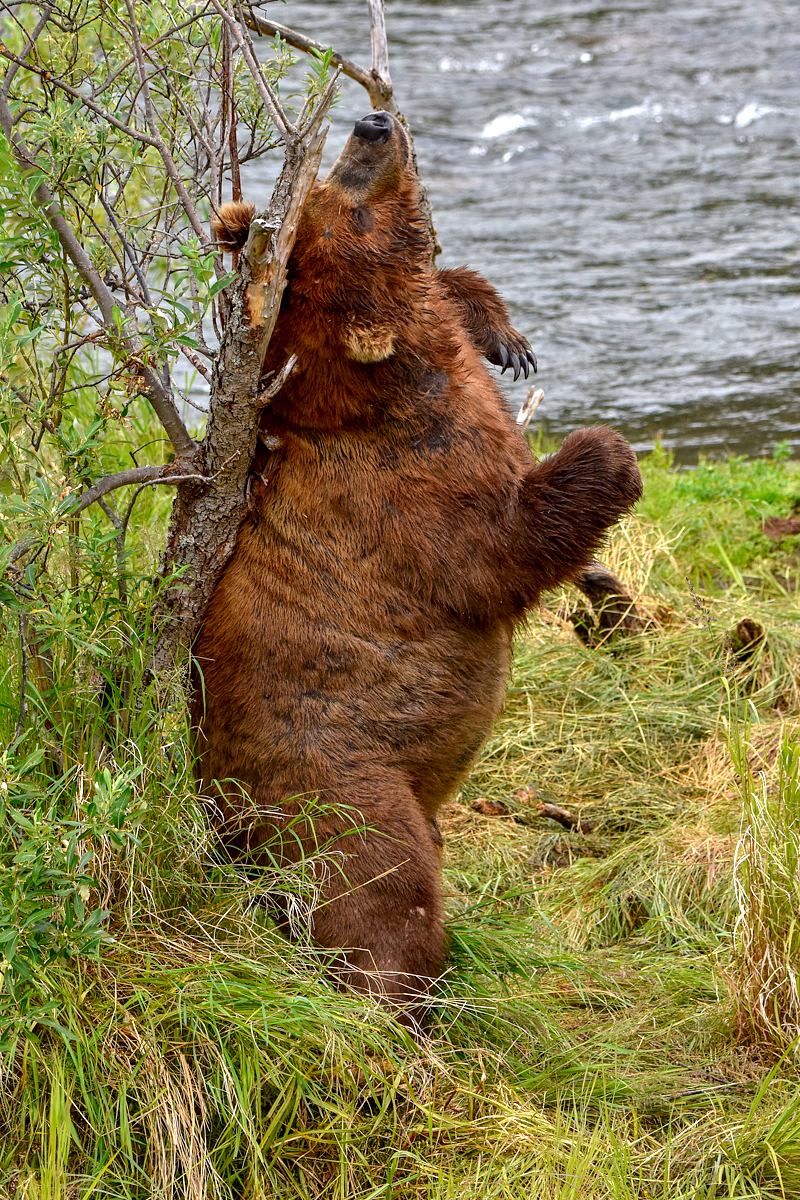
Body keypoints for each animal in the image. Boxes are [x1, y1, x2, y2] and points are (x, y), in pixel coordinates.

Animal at [190, 112, 642, 1027]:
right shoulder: (406, 501)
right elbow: (502, 550)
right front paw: (605, 450)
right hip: (333, 778)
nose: (373, 123)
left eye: (324, 188)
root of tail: (220, 810)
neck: (384, 391)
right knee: (379, 888)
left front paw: (505, 333)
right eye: (351, 210)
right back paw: (406, 1006)